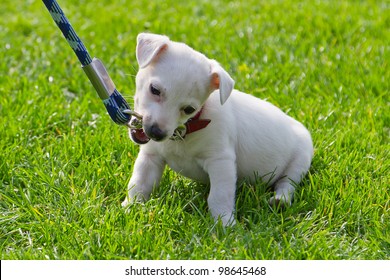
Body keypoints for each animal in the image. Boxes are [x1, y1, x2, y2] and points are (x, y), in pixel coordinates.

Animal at [122, 32, 314, 225]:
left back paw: (280, 200)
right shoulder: (150, 158)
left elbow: (219, 196)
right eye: (154, 89)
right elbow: (139, 184)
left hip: (300, 160)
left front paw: (224, 223)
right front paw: (129, 208)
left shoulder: (220, 161)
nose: (156, 133)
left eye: (189, 109)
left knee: (287, 183)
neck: (186, 129)